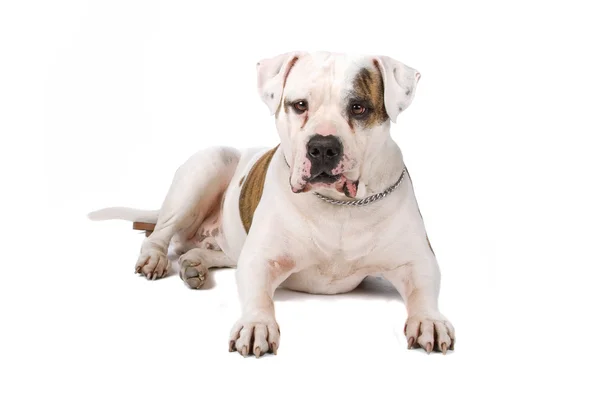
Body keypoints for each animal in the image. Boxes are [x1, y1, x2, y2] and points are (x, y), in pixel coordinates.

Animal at [88, 50, 454, 360]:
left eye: (359, 108)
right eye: (299, 105)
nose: (323, 147)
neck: (337, 205)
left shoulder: (418, 261)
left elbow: (423, 289)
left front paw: (429, 320)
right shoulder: (260, 257)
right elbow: (258, 293)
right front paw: (256, 325)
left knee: (210, 251)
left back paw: (195, 263)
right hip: (209, 164)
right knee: (159, 234)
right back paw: (155, 259)